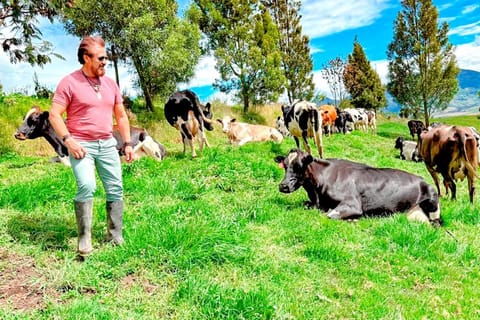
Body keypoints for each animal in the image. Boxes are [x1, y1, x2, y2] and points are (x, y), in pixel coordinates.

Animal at [274, 149, 442, 226]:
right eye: (285, 166)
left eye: (299, 166)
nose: (283, 186)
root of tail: (423, 180)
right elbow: (306, 204)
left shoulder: (352, 204)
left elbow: (329, 215)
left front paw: (353, 219)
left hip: (433, 204)